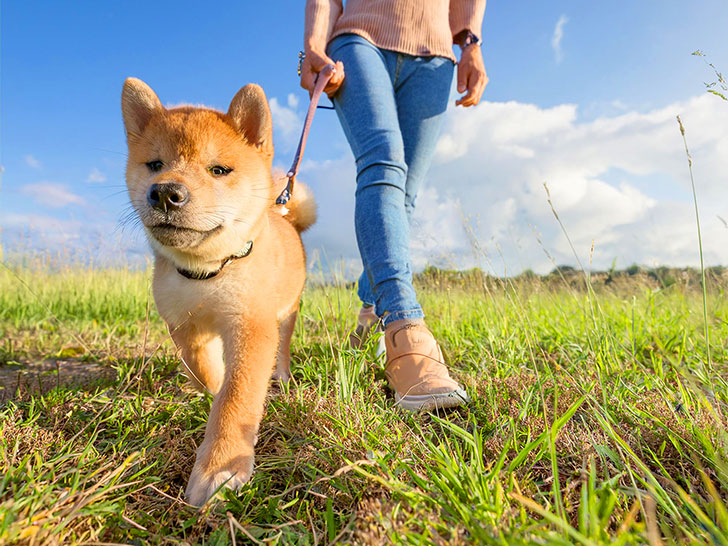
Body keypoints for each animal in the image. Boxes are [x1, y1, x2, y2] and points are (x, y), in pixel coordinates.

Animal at [122, 78, 316, 504]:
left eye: (219, 170)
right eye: (155, 165)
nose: (165, 193)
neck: (207, 273)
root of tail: (286, 216)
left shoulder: (251, 327)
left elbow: (236, 398)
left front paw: (220, 465)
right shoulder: (184, 327)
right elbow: (205, 372)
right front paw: (208, 389)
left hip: (287, 312)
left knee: (284, 347)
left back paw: (283, 375)